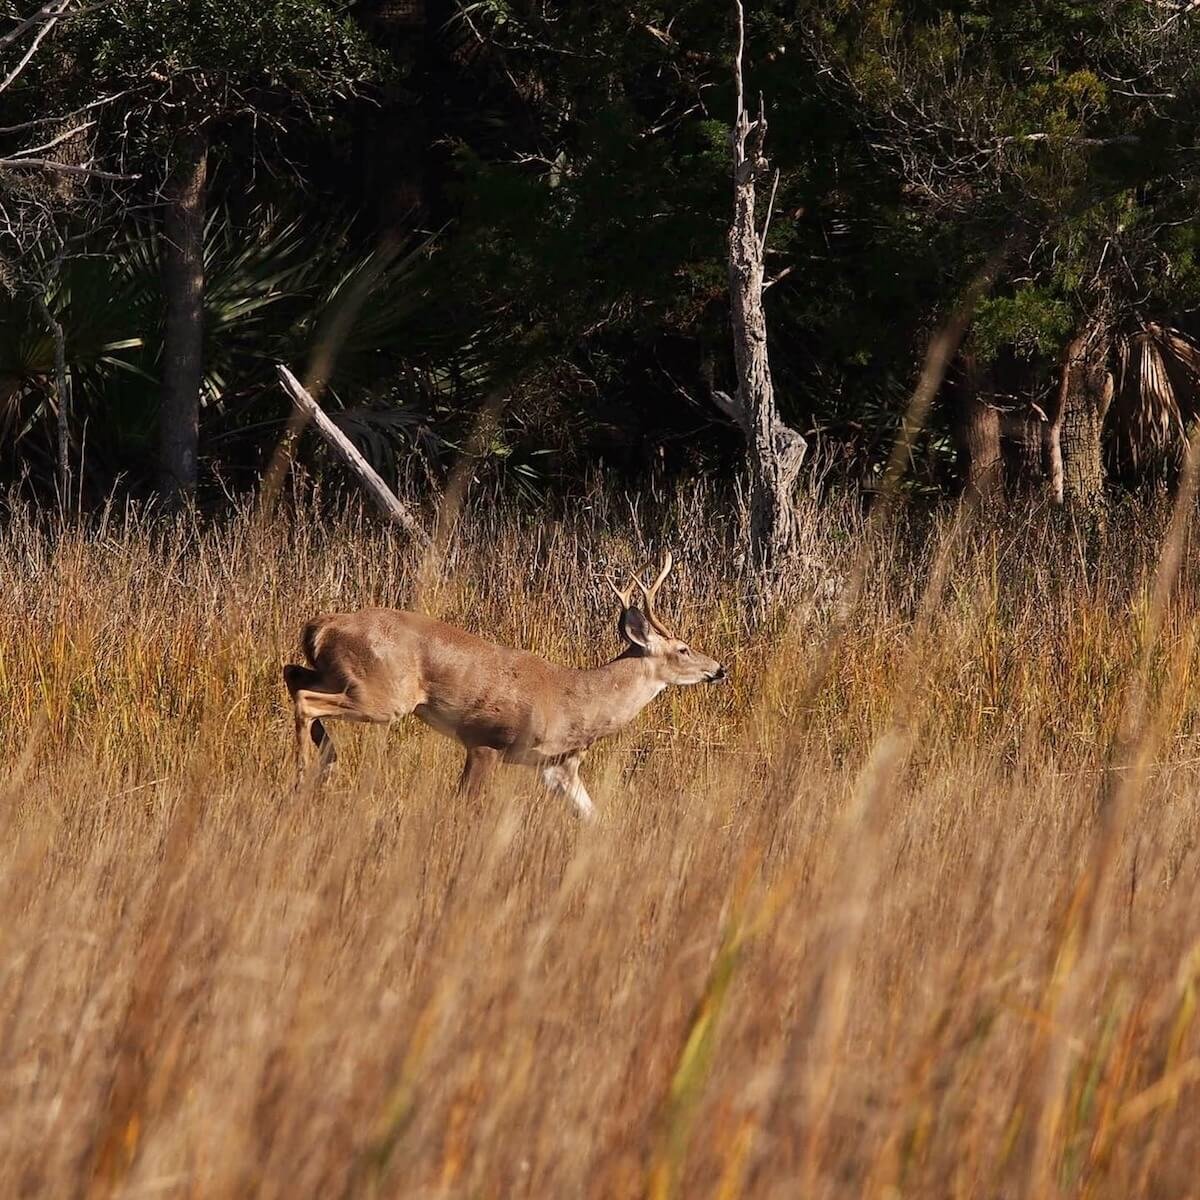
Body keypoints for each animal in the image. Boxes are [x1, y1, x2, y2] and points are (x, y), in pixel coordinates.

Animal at [283, 549, 720, 816]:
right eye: (683, 648)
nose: (718, 668)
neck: (577, 700)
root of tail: (323, 625)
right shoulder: (486, 739)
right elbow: (466, 804)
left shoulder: (556, 766)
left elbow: (593, 817)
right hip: (385, 695)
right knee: (305, 699)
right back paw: (306, 773)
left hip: (345, 677)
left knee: (293, 674)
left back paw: (327, 761)